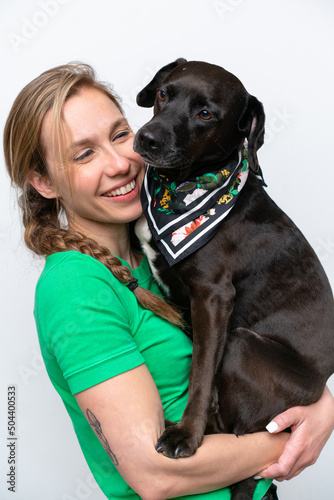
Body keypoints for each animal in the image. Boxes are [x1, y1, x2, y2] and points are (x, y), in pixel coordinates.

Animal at [133, 59, 334, 500]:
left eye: (206, 113)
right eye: (163, 93)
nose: (146, 139)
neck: (181, 187)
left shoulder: (213, 298)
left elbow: (200, 372)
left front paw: (185, 435)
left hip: (242, 343)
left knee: (238, 431)